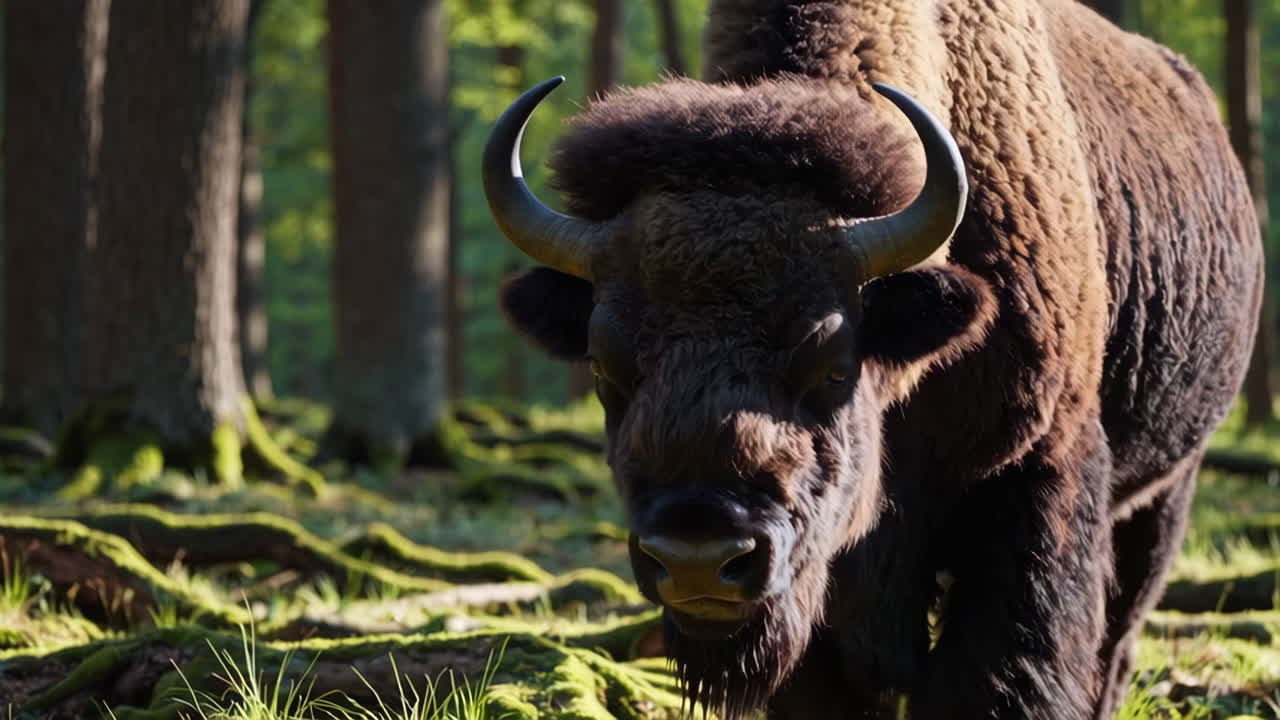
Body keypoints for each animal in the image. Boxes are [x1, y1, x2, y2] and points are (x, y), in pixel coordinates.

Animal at [482, 0, 1264, 718]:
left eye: (833, 360)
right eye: (604, 368)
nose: (699, 558)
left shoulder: (1036, 479)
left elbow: (1003, 674)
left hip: (1166, 491)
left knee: (1118, 640)